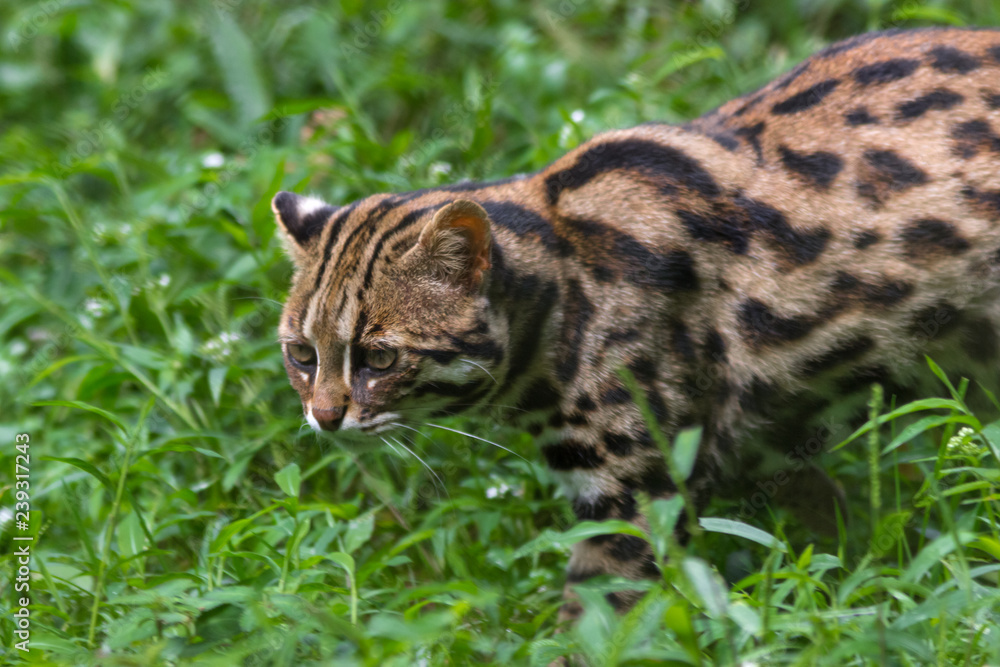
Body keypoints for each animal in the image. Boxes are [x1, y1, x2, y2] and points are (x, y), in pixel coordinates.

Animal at [272, 27, 1000, 617]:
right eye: (302, 355)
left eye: (381, 357)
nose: (324, 417)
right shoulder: (772, 444)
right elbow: (824, 536)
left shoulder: (635, 492)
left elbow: (596, 619)